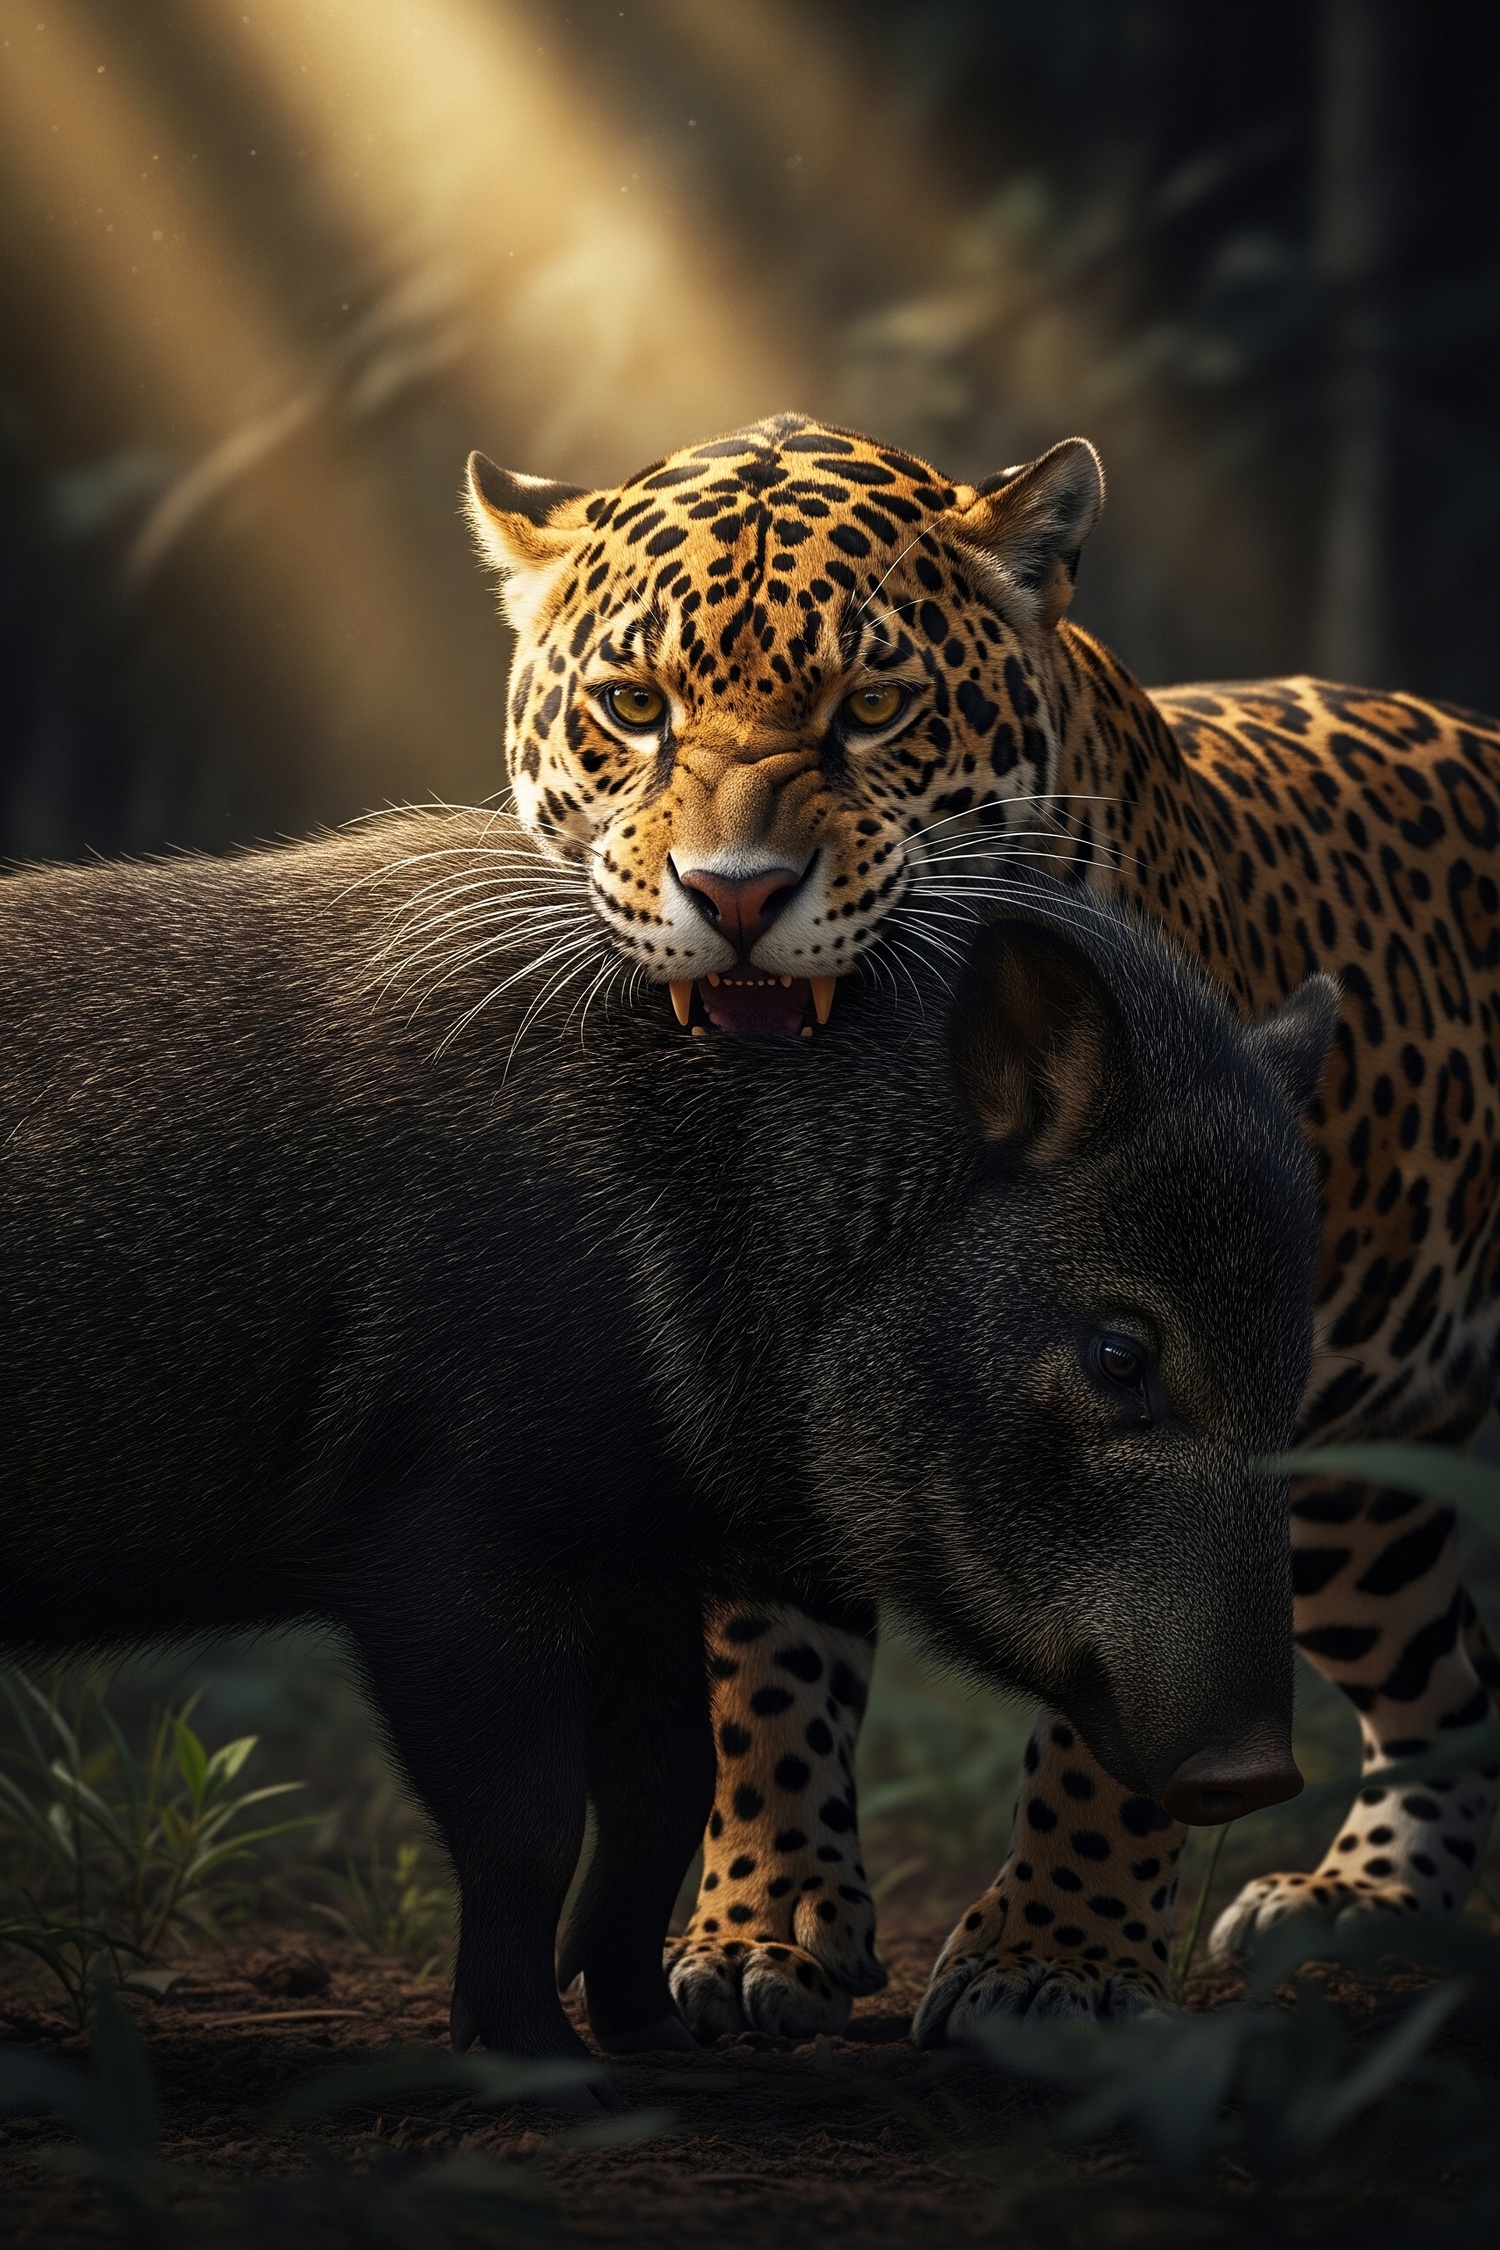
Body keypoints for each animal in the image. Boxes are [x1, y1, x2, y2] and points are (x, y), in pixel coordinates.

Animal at [464, 409, 1500, 2040]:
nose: (736, 896)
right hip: (1360, 1490)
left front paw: (1054, 1957)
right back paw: (1367, 1905)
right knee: (1456, 1679)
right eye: (633, 708)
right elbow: (760, 1666)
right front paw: (764, 1927)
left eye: (875, 706)